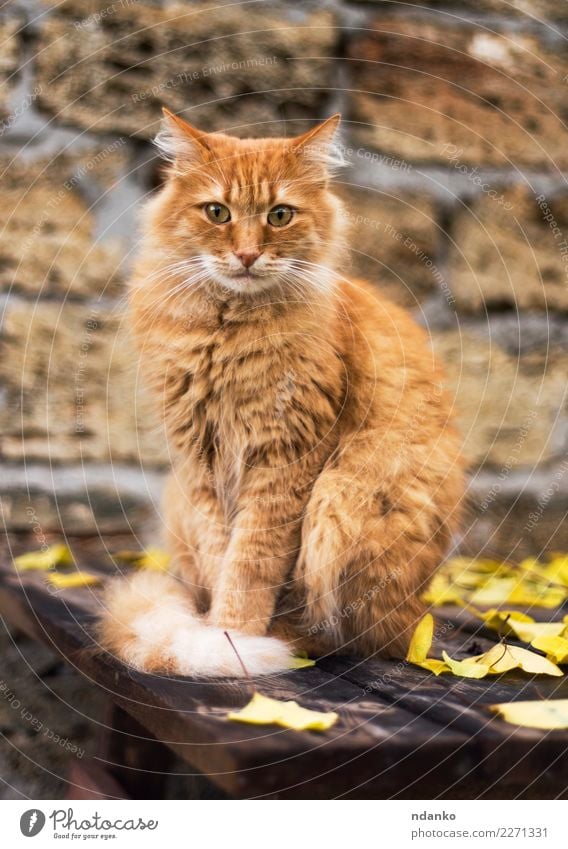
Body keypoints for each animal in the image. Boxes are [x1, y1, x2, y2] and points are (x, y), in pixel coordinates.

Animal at [97, 109, 464, 676]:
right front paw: (216, 635)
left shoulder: (287, 457)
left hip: (343, 496)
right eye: (217, 212)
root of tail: (417, 617)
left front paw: (234, 639)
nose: (247, 254)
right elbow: (221, 555)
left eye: (280, 215)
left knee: (354, 635)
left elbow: (250, 564)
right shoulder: (199, 462)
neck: (226, 332)